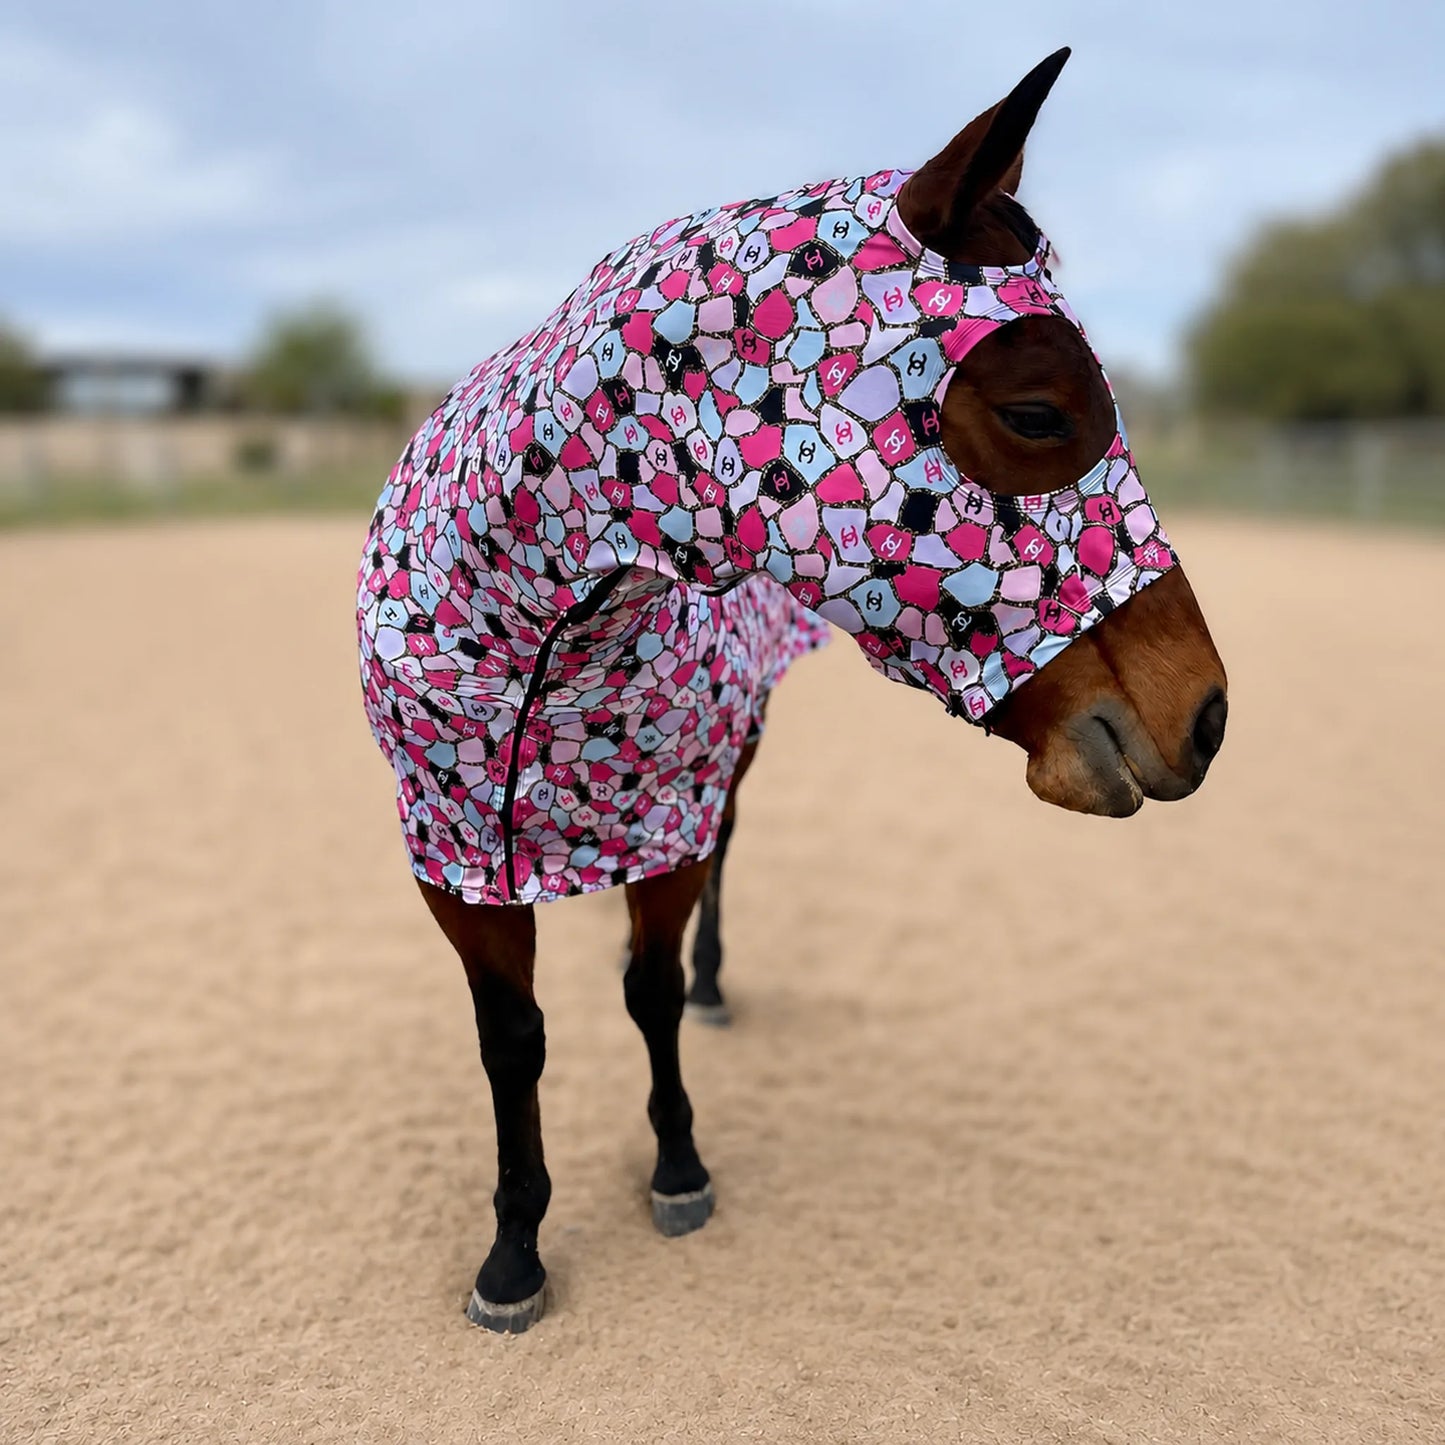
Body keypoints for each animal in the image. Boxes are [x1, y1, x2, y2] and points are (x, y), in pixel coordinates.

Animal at [356, 48, 1228, 1334]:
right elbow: (511, 1040)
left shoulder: (662, 821)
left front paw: (676, 1166)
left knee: (725, 850)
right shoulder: (452, 857)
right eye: (1036, 413)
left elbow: (652, 988)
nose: (1204, 713)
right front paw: (512, 1251)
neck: (542, 632)